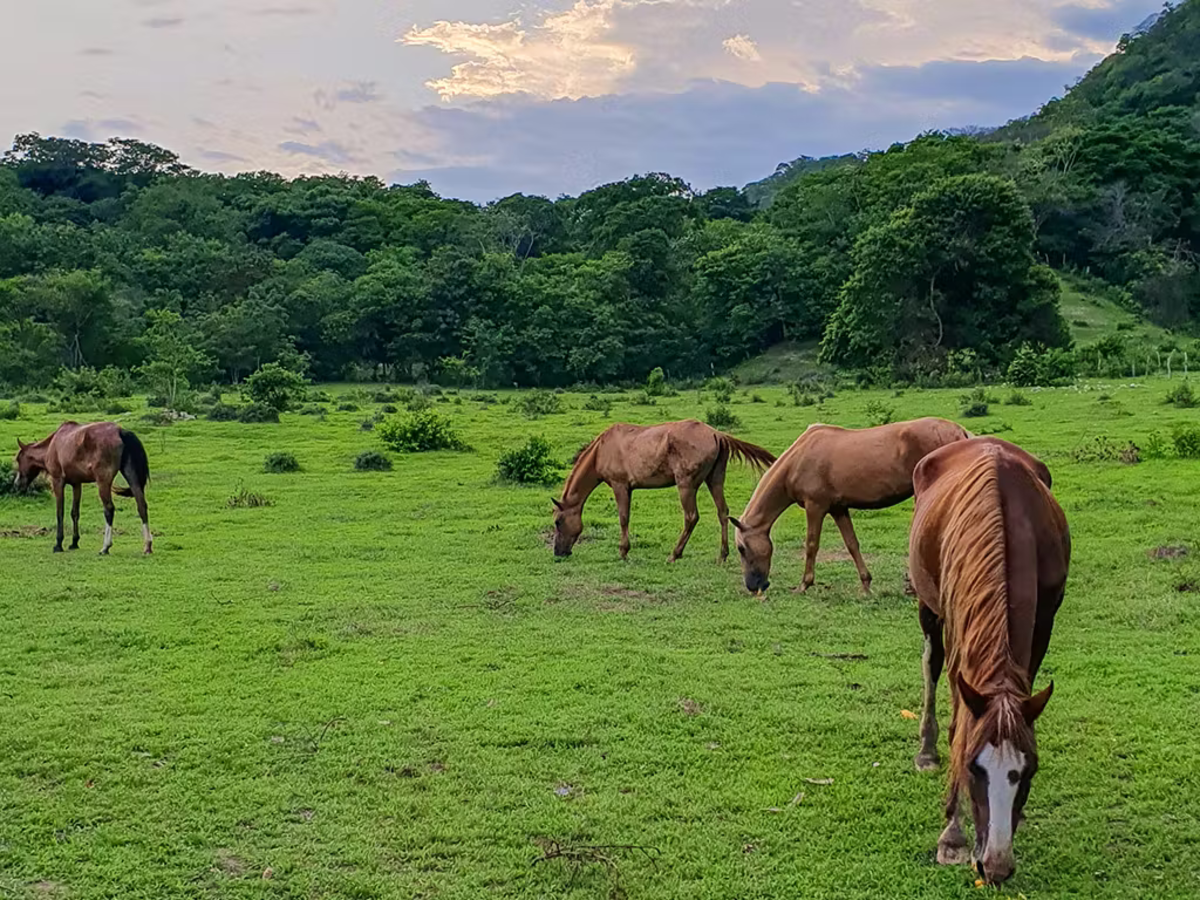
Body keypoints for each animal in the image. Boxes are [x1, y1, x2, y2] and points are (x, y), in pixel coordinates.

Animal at [13, 422, 152, 555]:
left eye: (18, 459)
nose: (17, 483)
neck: (52, 446)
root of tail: (120, 432)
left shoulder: (58, 482)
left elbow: (60, 513)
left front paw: (58, 544)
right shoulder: (77, 484)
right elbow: (75, 513)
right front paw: (74, 542)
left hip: (103, 482)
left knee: (109, 509)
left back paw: (105, 547)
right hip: (132, 477)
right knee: (141, 506)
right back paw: (147, 545)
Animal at [552, 420, 776, 562]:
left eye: (558, 522)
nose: (558, 552)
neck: (601, 450)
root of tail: (716, 434)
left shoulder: (620, 485)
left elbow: (623, 518)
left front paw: (623, 551)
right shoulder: (628, 488)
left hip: (686, 484)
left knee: (691, 517)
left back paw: (675, 554)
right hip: (715, 480)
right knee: (723, 513)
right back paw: (722, 555)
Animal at [730, 417, 968, 594]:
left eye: (741, 548)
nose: (753, 586)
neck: (797, 459)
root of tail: (960, 432)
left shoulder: (815, 506)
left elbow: (811, 545)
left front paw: (804, 584)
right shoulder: (838, 509)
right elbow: (852, 544)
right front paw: (866, 584)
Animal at [908, 437, 1069, 884]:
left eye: (1029, 772)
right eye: (971, 768)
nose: (996, 867)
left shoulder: (1044, 622)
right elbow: (960, 722)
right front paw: (952, 835)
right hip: (929, 608)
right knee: (931, 665)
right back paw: (926, 751)